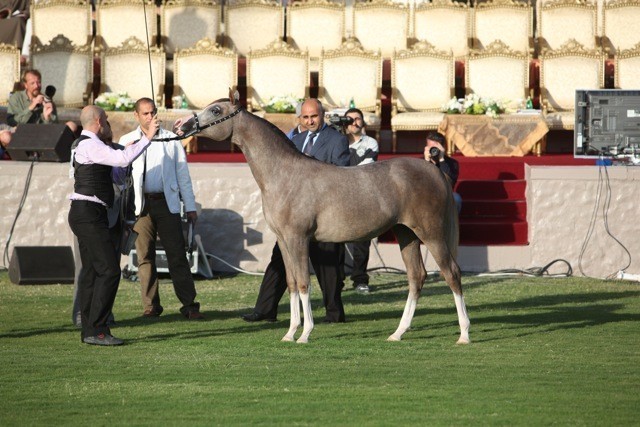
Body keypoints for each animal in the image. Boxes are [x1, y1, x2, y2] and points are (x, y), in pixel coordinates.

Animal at [176, 90, 470, 344]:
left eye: (216, 110)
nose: (182, 126)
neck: (284, 174)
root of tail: (434, 170)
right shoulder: (284, 241)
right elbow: (291, 283)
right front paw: (290, 333)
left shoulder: (299, 239)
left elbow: (304, 283)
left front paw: (305, 333)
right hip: (406, 234)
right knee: (416, 277)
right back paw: (398, 333)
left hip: (431, 234)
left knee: (452, 273)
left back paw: (464, 334)